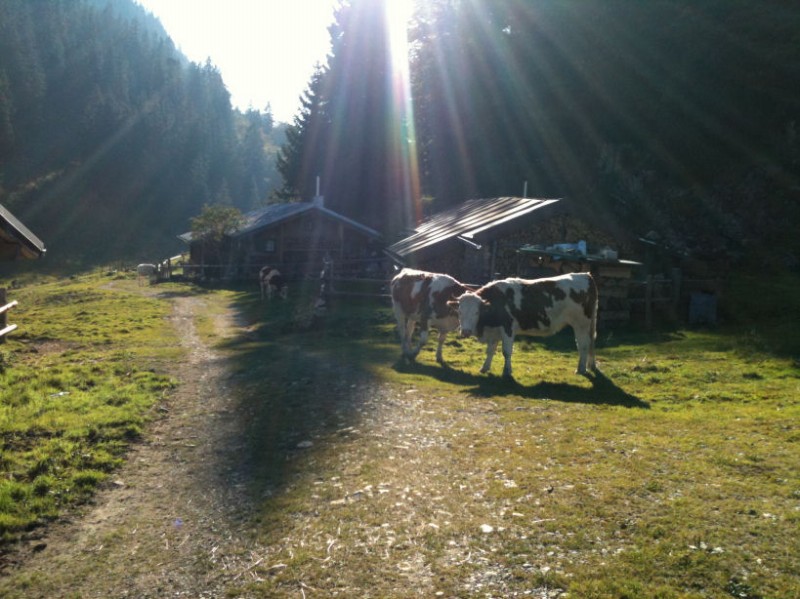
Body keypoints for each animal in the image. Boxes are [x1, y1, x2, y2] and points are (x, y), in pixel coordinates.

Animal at [454, 274, 596, 378]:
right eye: (459, 311)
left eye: (477, 312)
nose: (465, 331)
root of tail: (586, 275)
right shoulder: (494, 331)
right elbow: (490, 351)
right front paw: (484, 368)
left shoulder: (508, 328)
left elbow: (506, 352)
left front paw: (507, 371)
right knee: (588, 344)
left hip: (581, 324)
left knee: (583, 345)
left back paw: (581, 369)